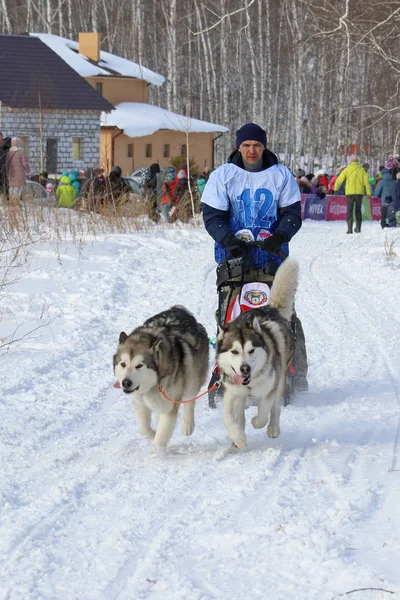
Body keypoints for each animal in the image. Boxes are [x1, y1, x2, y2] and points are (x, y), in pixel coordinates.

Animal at [111, 308, 206, 448]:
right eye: (123, 364)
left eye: (139, 365)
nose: (126, 383)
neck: (152, 385)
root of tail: (181, 309)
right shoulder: (139, 402)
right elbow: (144, 429)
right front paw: (152, 434)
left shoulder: (168, 407)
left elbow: (160, 438)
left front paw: (156, 451)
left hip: (192, 378)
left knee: (190, 399)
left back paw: (187, 425)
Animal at [216, 260, 296, 448]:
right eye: (234, 351)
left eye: (251, 350)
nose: (244, 368)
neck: (250, 383)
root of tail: (271, 308)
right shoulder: (232, 391)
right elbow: (227, 416)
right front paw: (237, 436)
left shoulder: (269, 390)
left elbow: (263, 414)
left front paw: (256, 422)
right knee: (240, 412)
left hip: (281, 378)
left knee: (275, 409)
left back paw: (273, 428)